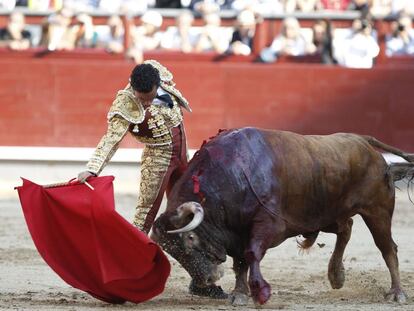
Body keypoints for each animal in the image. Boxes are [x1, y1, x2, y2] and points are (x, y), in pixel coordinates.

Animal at [150, 128, 412, 306]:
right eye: (172, 252)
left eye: (190, 239)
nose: (207, 279)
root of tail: (363, 141)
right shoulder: (237, 232)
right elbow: (240, 263)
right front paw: (239, 294)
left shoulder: (267, 224)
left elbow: (251, 254)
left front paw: (260, 292)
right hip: (326, 214)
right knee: (345, 228)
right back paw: (336, 275)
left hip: (377, 211)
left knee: (387, 248)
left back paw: (397, 293)